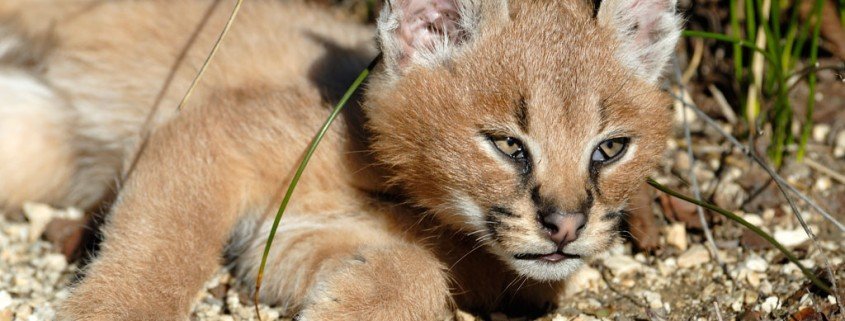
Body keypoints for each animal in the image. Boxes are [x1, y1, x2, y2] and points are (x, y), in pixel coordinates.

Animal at [0, 0, 680, 318]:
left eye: (610, 149)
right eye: (507, 144)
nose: (566, 226)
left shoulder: (281, 237)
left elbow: (415, 274)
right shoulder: (209, 134)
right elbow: (164, 249)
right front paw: (112, 311)